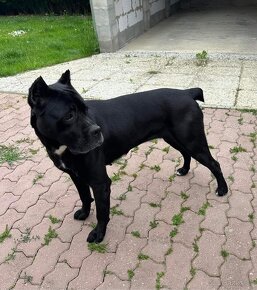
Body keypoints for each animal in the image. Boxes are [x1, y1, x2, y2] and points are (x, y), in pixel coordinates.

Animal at [28, 69, 227, 242]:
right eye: (69, 115)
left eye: (85, 109)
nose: (97, 131)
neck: (62, 146)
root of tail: (187, 93)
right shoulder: (76, 176)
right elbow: (84, 197)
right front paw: (84, 213)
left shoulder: (99, 182)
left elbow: (102, 212)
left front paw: (98, 234)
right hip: (175, 139)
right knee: (186, 154)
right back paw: (184, 170)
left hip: (193, 141)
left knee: (214, 164)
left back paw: (222, 189)